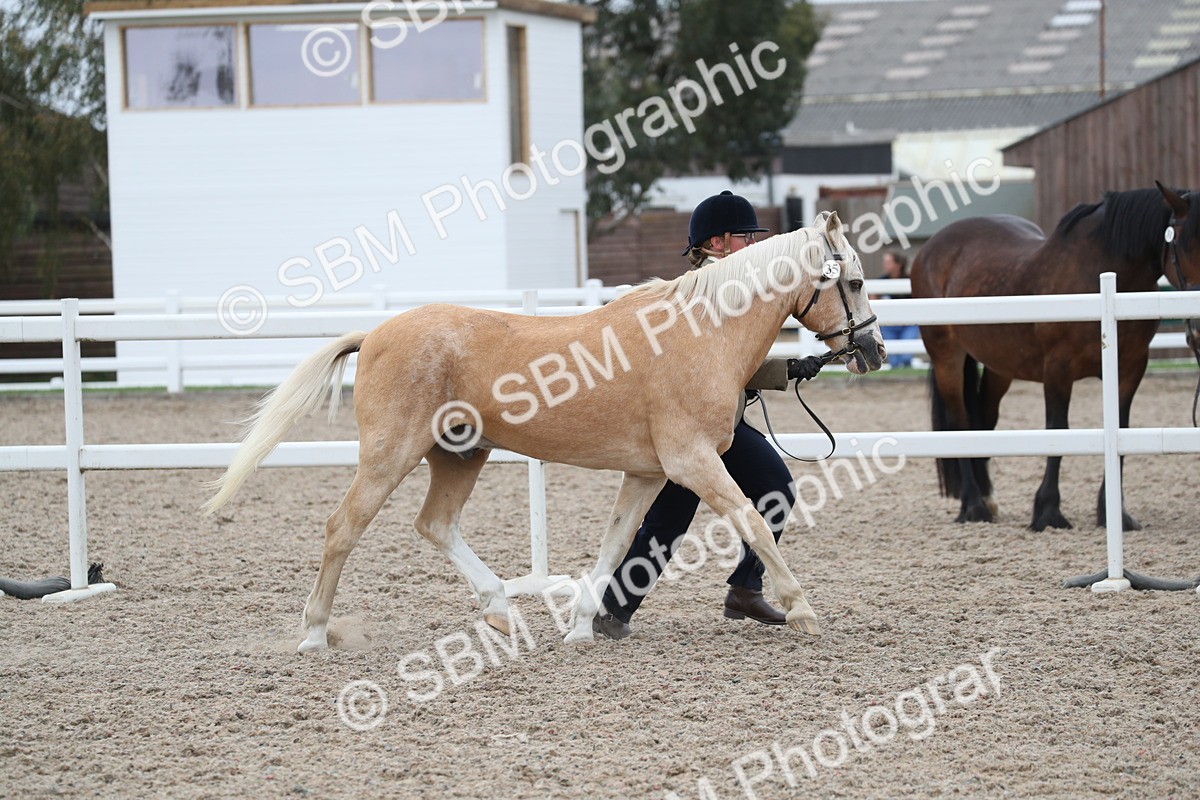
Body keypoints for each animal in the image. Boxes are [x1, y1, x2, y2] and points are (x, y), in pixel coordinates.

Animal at [203, 211, 886, 653]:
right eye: (852, 281)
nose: (874, 351)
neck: (703, 331)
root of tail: (374, 334)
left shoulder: (648, 471)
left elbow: (617, 545)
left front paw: (583, 627)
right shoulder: (693, 462)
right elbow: (751, 520)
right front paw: (803, 610)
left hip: (461, 455)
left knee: (435, 524)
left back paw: (501, 612)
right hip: (390, 454)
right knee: (343, 527)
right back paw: (316, 634)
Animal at [911, 183, 1199, 531]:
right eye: (1185, 246)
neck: (1101, 276)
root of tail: (930, 247)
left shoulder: (1130, 368)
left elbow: (1121, 429)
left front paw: (1113, 513)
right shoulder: (1058, 368)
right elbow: (1057, 429)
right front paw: (1048, 511)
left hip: (1000, 366)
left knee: (984, 420)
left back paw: (988, 499)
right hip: (947, 357)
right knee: (960, 423)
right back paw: (974, 505)